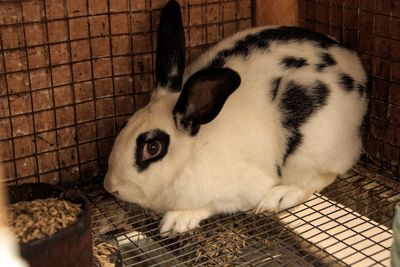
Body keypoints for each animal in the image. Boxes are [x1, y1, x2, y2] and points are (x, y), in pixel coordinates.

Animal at [104, 0, 368, 239]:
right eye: (125, 124)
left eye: (153, 148)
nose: (110, 187)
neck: (195, 150)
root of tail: (357, 68)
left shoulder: (238, 191)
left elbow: (210, 205)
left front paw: (178, 220)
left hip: (310, 149)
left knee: (323, 175)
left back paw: (278, 197)